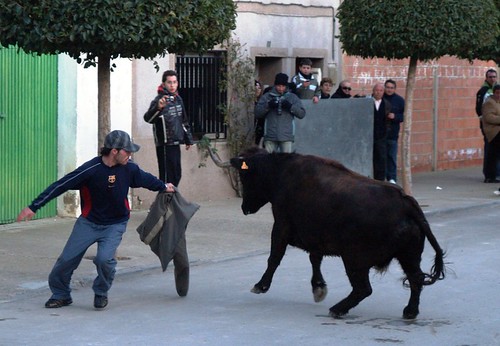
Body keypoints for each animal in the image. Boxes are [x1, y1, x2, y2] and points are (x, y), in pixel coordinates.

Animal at [230, 147, 446, 320]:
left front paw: (260, 285)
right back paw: (410, 311)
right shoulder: (315, 236)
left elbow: (275, 256)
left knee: (363, 288)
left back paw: (338, 309)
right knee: (416, 279)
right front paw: (318, 287)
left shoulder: (281, 227)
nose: (244, 208)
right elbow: (314, 258)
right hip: (408, 256)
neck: (280, 173)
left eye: (245, 177)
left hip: (354, 258)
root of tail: (405, 202)